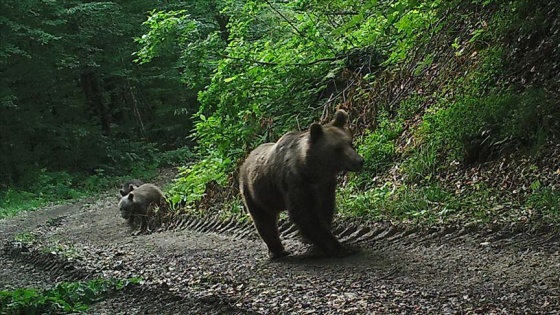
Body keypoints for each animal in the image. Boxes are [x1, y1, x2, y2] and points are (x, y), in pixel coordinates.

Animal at [240, 110, 364, 258]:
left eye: (350, 142)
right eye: (337, 148)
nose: (359, 161)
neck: (311, 170)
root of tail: (245, 160)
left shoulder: (326, 185)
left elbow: (325, 209)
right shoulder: (295, 183)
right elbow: (305, 214)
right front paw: (339, 248)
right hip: (256, 193)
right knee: (264, 221)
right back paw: (278, 250)